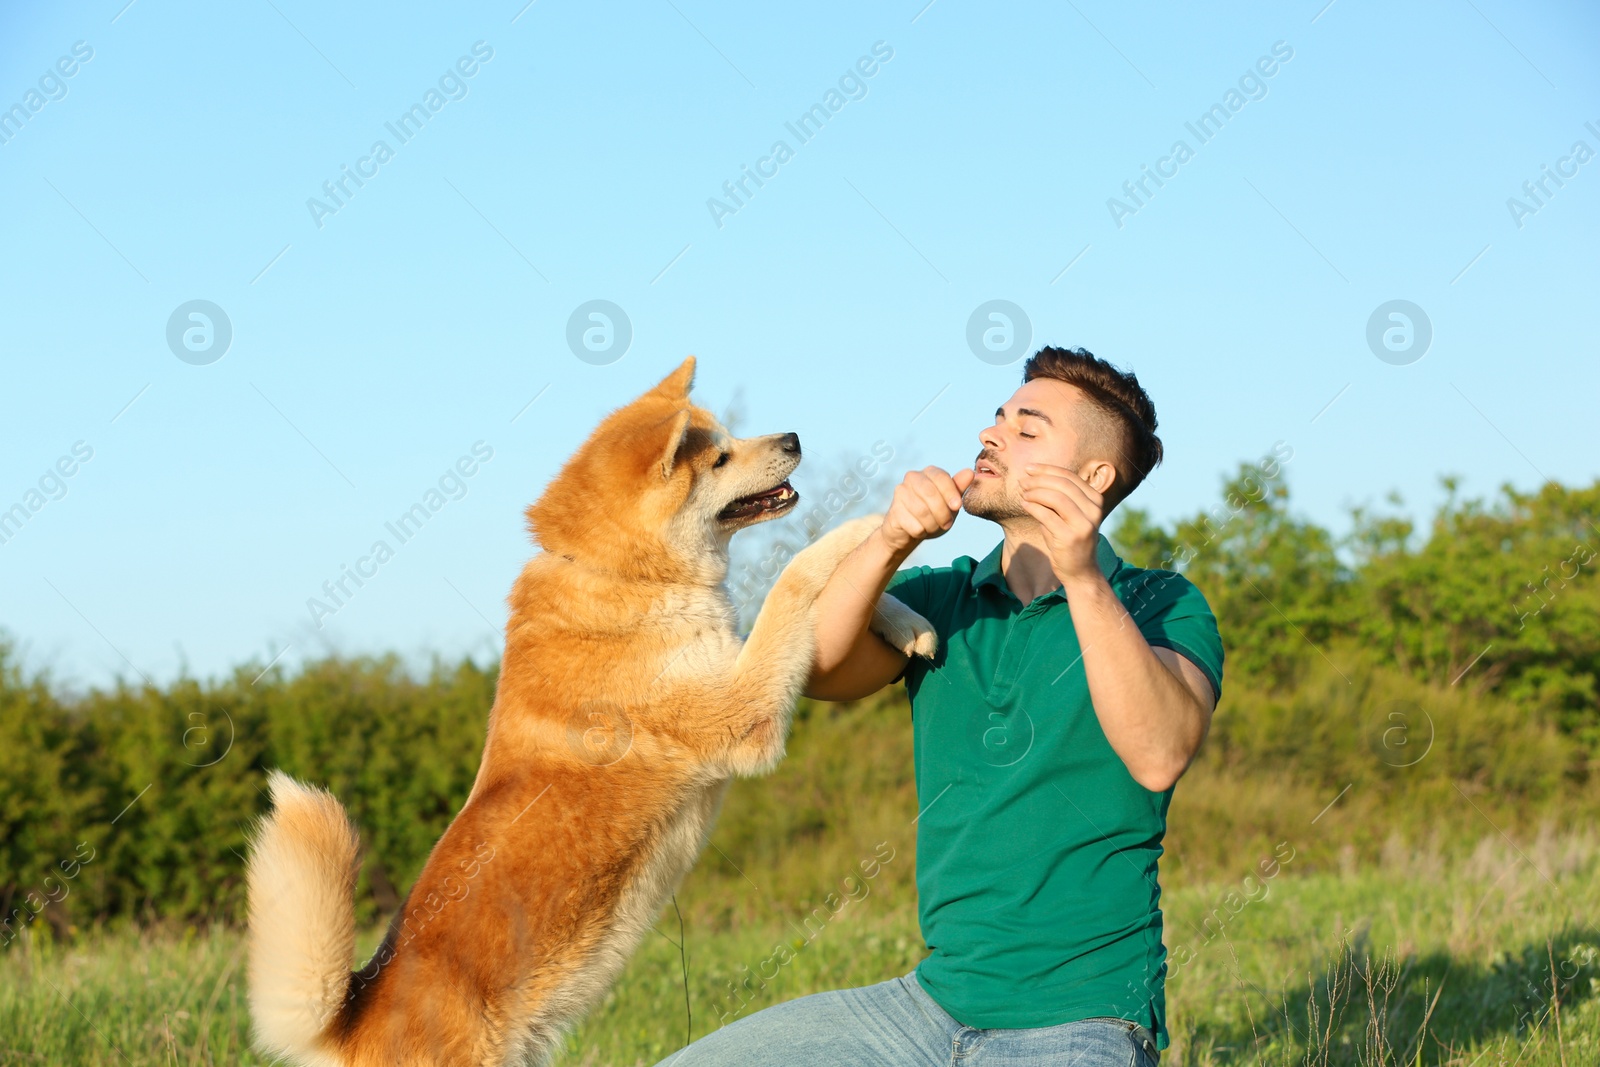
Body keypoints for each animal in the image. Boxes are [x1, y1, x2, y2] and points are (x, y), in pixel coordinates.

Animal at [243, 358, 934, 1067]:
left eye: (730, 437)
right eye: (719, 456)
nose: (793, 437)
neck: (623, 575)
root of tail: (351, 1021)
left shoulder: (733, 657)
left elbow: (813, 597)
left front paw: (906, 619)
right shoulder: (741, 707)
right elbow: (796, 576)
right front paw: (870, 525)